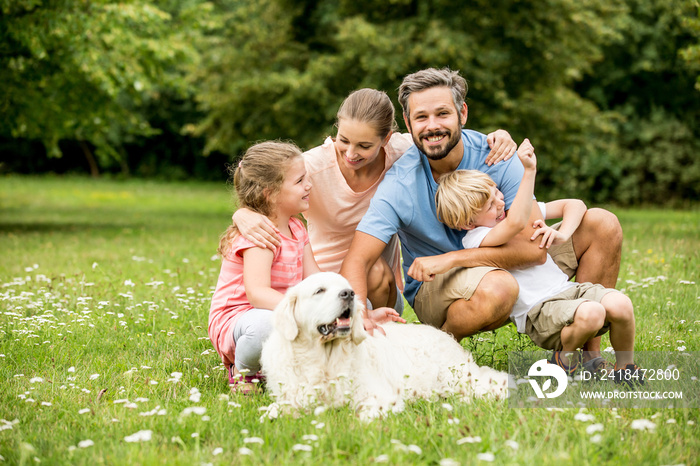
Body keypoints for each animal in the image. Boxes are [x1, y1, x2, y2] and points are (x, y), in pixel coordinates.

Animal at [260, 272, 506, 420]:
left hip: (454, 377)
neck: (324, 361)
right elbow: (271, 412)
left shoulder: (379, 397)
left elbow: (362, 417)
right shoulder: (290, 398)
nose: (349, 294)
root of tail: (447, 336)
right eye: (319, 290)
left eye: (347, 287)